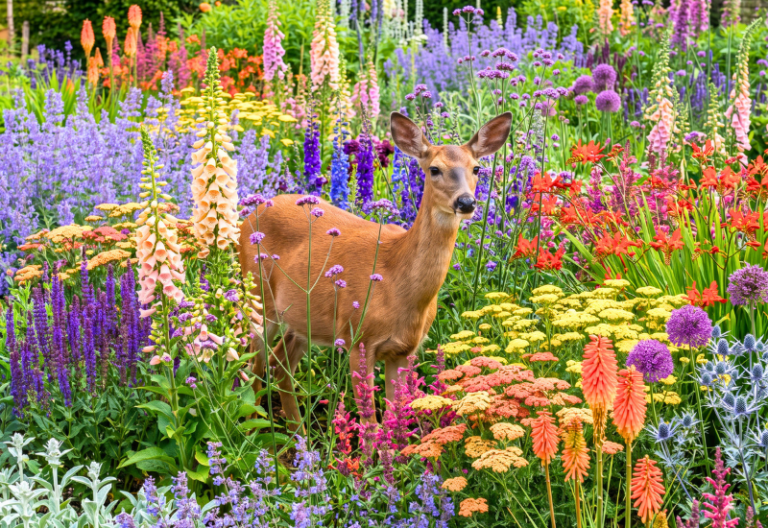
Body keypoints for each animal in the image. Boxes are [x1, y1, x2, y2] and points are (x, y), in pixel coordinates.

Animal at [239, 111, 512, 430]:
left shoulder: (404, 350)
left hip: (301, 321)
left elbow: (396, 413)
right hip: (258, 301)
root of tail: (252, 212)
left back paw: (297, 437)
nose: (466, 202)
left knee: (280, 367)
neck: (397, 281)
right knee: (254, 368)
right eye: (434, 169)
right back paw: (257, 431)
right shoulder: (357, 337)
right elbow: (370, 419)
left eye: (477, 168)